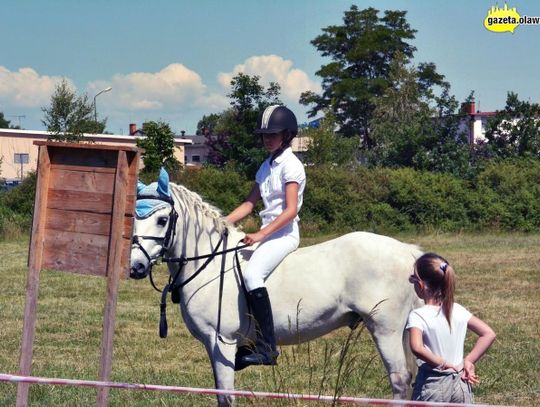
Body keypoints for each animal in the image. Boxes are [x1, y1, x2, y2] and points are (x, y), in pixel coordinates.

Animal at [130, 169, 422, 407]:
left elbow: (226, 395)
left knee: (400, 380)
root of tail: (407, 251)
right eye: (133, 217)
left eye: (162, 220)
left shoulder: (222, 342)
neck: (209, 262)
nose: (136, 267)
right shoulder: (213, 347)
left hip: (385, 330)